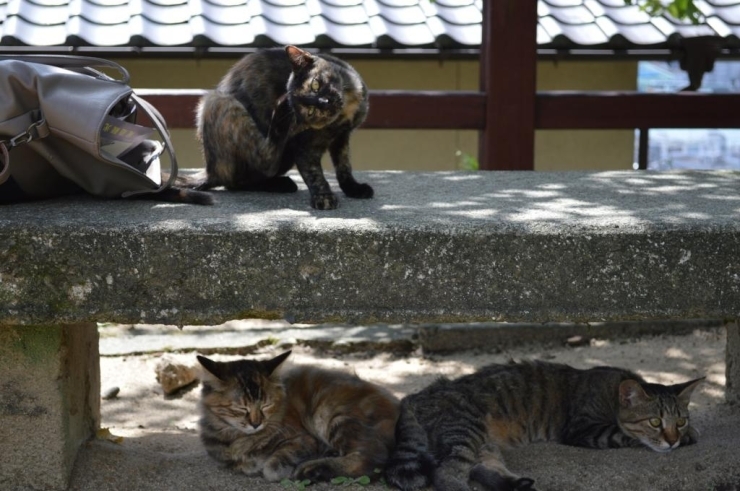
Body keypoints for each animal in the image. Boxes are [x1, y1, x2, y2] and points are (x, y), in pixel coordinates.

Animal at [178, 43, 372, 209]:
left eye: (315, 84)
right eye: (310, 111)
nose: (324, 103)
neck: (346, 109)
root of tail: (209, 170)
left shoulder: (342, 137)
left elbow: (344, 165)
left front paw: (353, 188)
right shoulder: (305, 147)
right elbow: (313, 172)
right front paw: (323, 196)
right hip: (218, 101)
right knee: (257, 167)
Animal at [197, 352, 398, 482]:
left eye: (265, 405)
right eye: (241, 408)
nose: (256, 424)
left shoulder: (303, 439)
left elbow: (273, 465)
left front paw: (276, 469)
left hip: (332, 415)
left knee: (372, 459)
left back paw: (312, 470)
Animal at [384, 362, 704, 491]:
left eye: (680, 419)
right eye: (654, 422)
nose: (673, 439)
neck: (610, 391)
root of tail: (414, 396)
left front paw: (688, 434)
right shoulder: (585, 430)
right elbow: (626, 436)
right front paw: (688, 438)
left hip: (482, 442)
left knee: (479, 467)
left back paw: (515, 484)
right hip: (465, 432)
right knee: (447, 473)